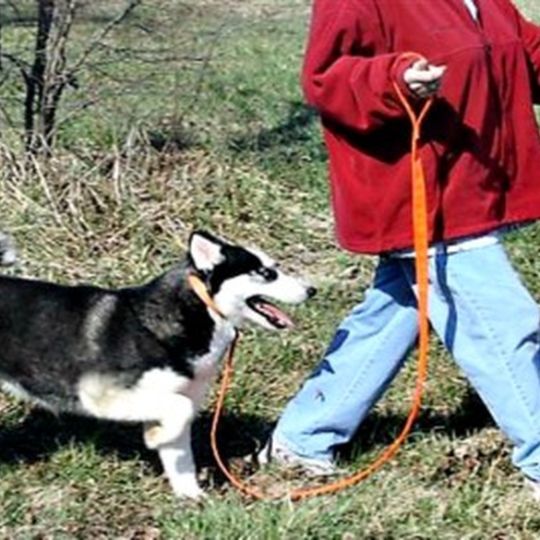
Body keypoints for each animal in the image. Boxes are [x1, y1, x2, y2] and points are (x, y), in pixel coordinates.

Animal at [0, 232, 316, 498]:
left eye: (274, 267)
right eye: (266, 273)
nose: (312, 290)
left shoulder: (173, 397)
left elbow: (182, 454)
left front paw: (192, 497)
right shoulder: (102, 396)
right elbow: (180, 410)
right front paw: (154, 437)